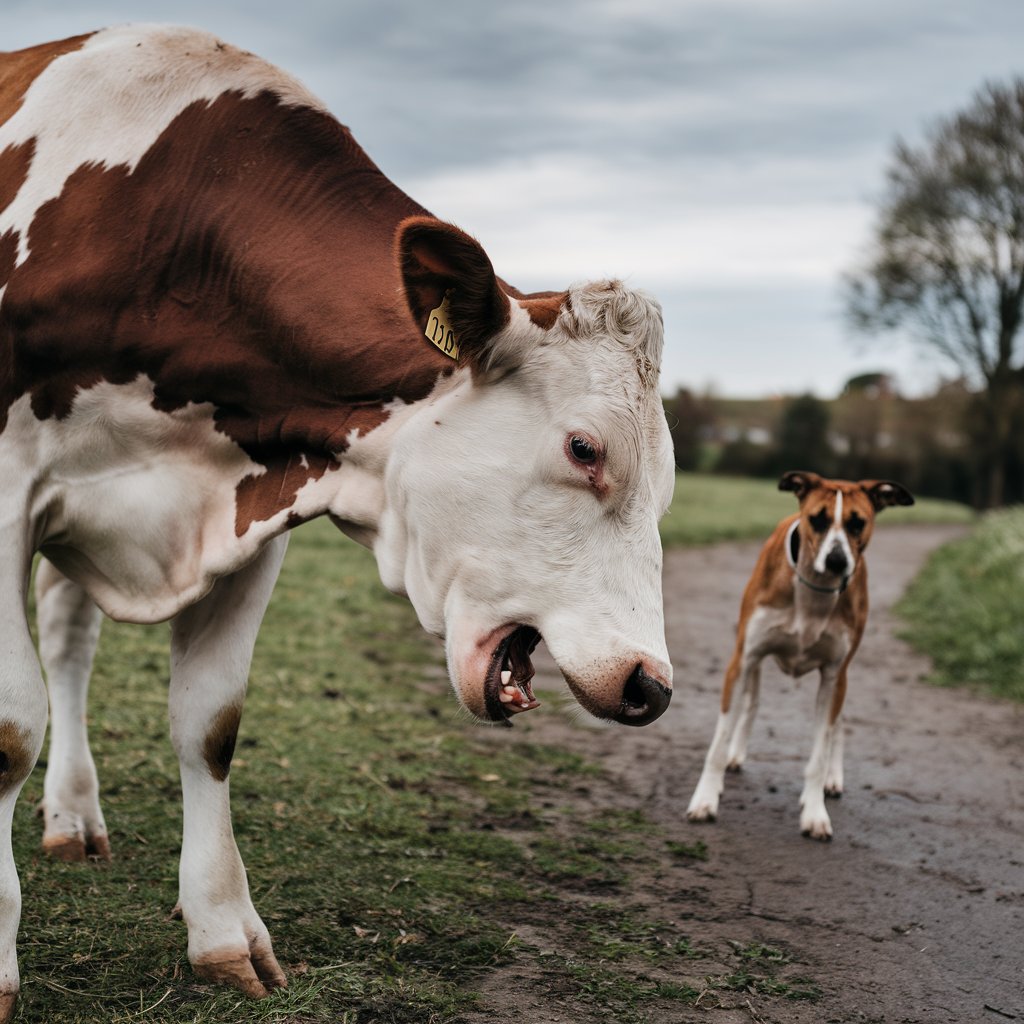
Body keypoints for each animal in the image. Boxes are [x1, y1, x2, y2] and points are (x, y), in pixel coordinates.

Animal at [0, 24, 675, 1015]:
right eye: (585, 449)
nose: (649, 684)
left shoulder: (249, 512)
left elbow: (210, 724)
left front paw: (223, 934)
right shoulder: (10, 490)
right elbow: (12, 726)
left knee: (69, 636)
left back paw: (75, 815)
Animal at [688, 471, 913, 839]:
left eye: (857, 523)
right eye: (817, 519)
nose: (837, 560)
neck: (814, 591)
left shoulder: (835, 675)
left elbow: (820, 748)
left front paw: (815, 811)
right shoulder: (743, 659)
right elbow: (718, 742)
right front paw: (705, 798)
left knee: (839, 723)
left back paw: (833, 778)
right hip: (751, 658)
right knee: (751, 703)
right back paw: (737, 752)